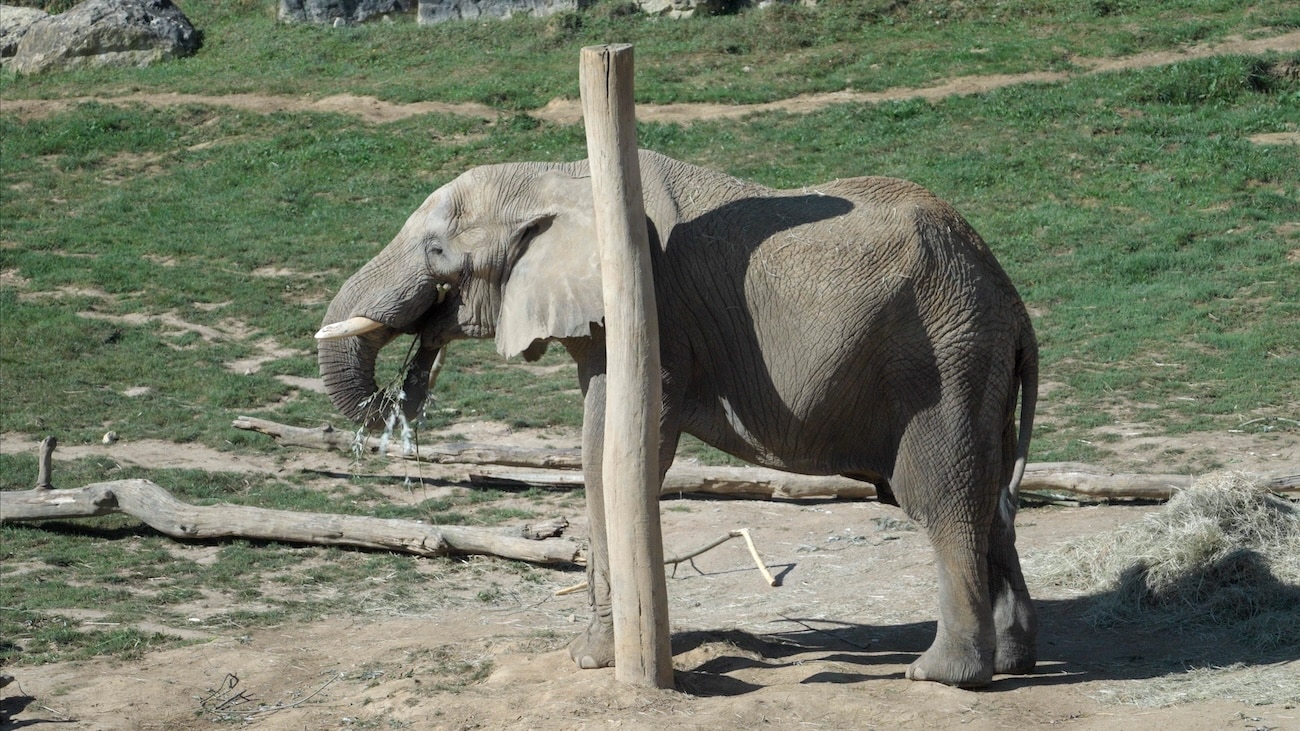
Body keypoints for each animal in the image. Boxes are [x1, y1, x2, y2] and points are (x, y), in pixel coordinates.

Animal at [319, 146, 1040, 681]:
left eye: (438, 249)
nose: (413, 375)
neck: (562, 175)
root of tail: (1011, 297)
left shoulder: (653, 314)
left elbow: (613, 448)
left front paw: (595, 660)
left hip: (945, 359)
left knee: (942, 498)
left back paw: (943, 674)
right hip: (976, 364)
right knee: (990, 499)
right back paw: (1012, 661)